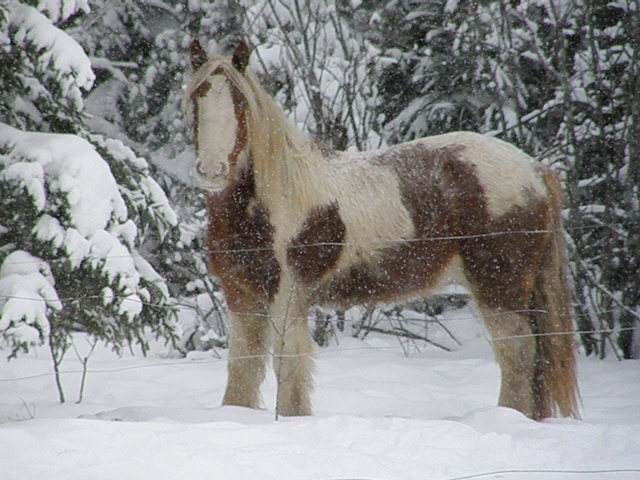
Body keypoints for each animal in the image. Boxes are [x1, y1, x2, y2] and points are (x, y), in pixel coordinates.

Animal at [184, 40, 580, 420]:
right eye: (197, 98)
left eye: (239, 102)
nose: (212, 169)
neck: (276, 194)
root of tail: (534, 169)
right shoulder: (242, 299)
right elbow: (242, 373)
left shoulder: (286, 298)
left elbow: (290, 373)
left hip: (498, 287)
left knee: (518, 354)